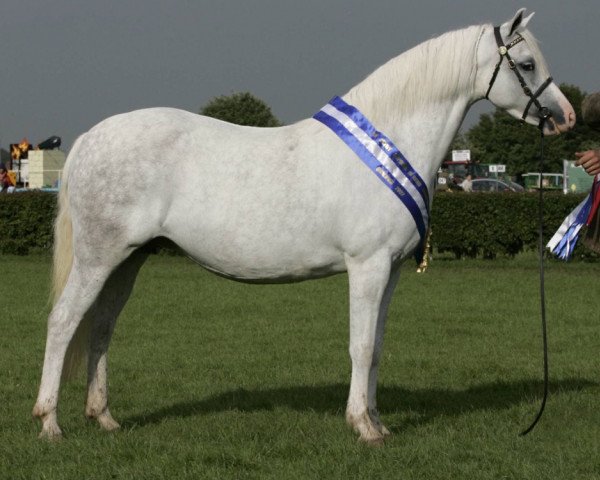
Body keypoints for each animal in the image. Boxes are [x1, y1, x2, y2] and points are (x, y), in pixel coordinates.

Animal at [32, 8, 576, 442]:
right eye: (527, 64)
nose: (566, 117)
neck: (386, 143)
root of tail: (88, 138)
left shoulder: (392, 271)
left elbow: (377, 347)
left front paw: (378, 422)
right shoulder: (368, 267)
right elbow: (360, 345)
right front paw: (362, 428)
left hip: (129, 259)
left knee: (101, 326)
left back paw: (104, 418)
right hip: (99, 258)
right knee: (64, 321)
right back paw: (50, 423)